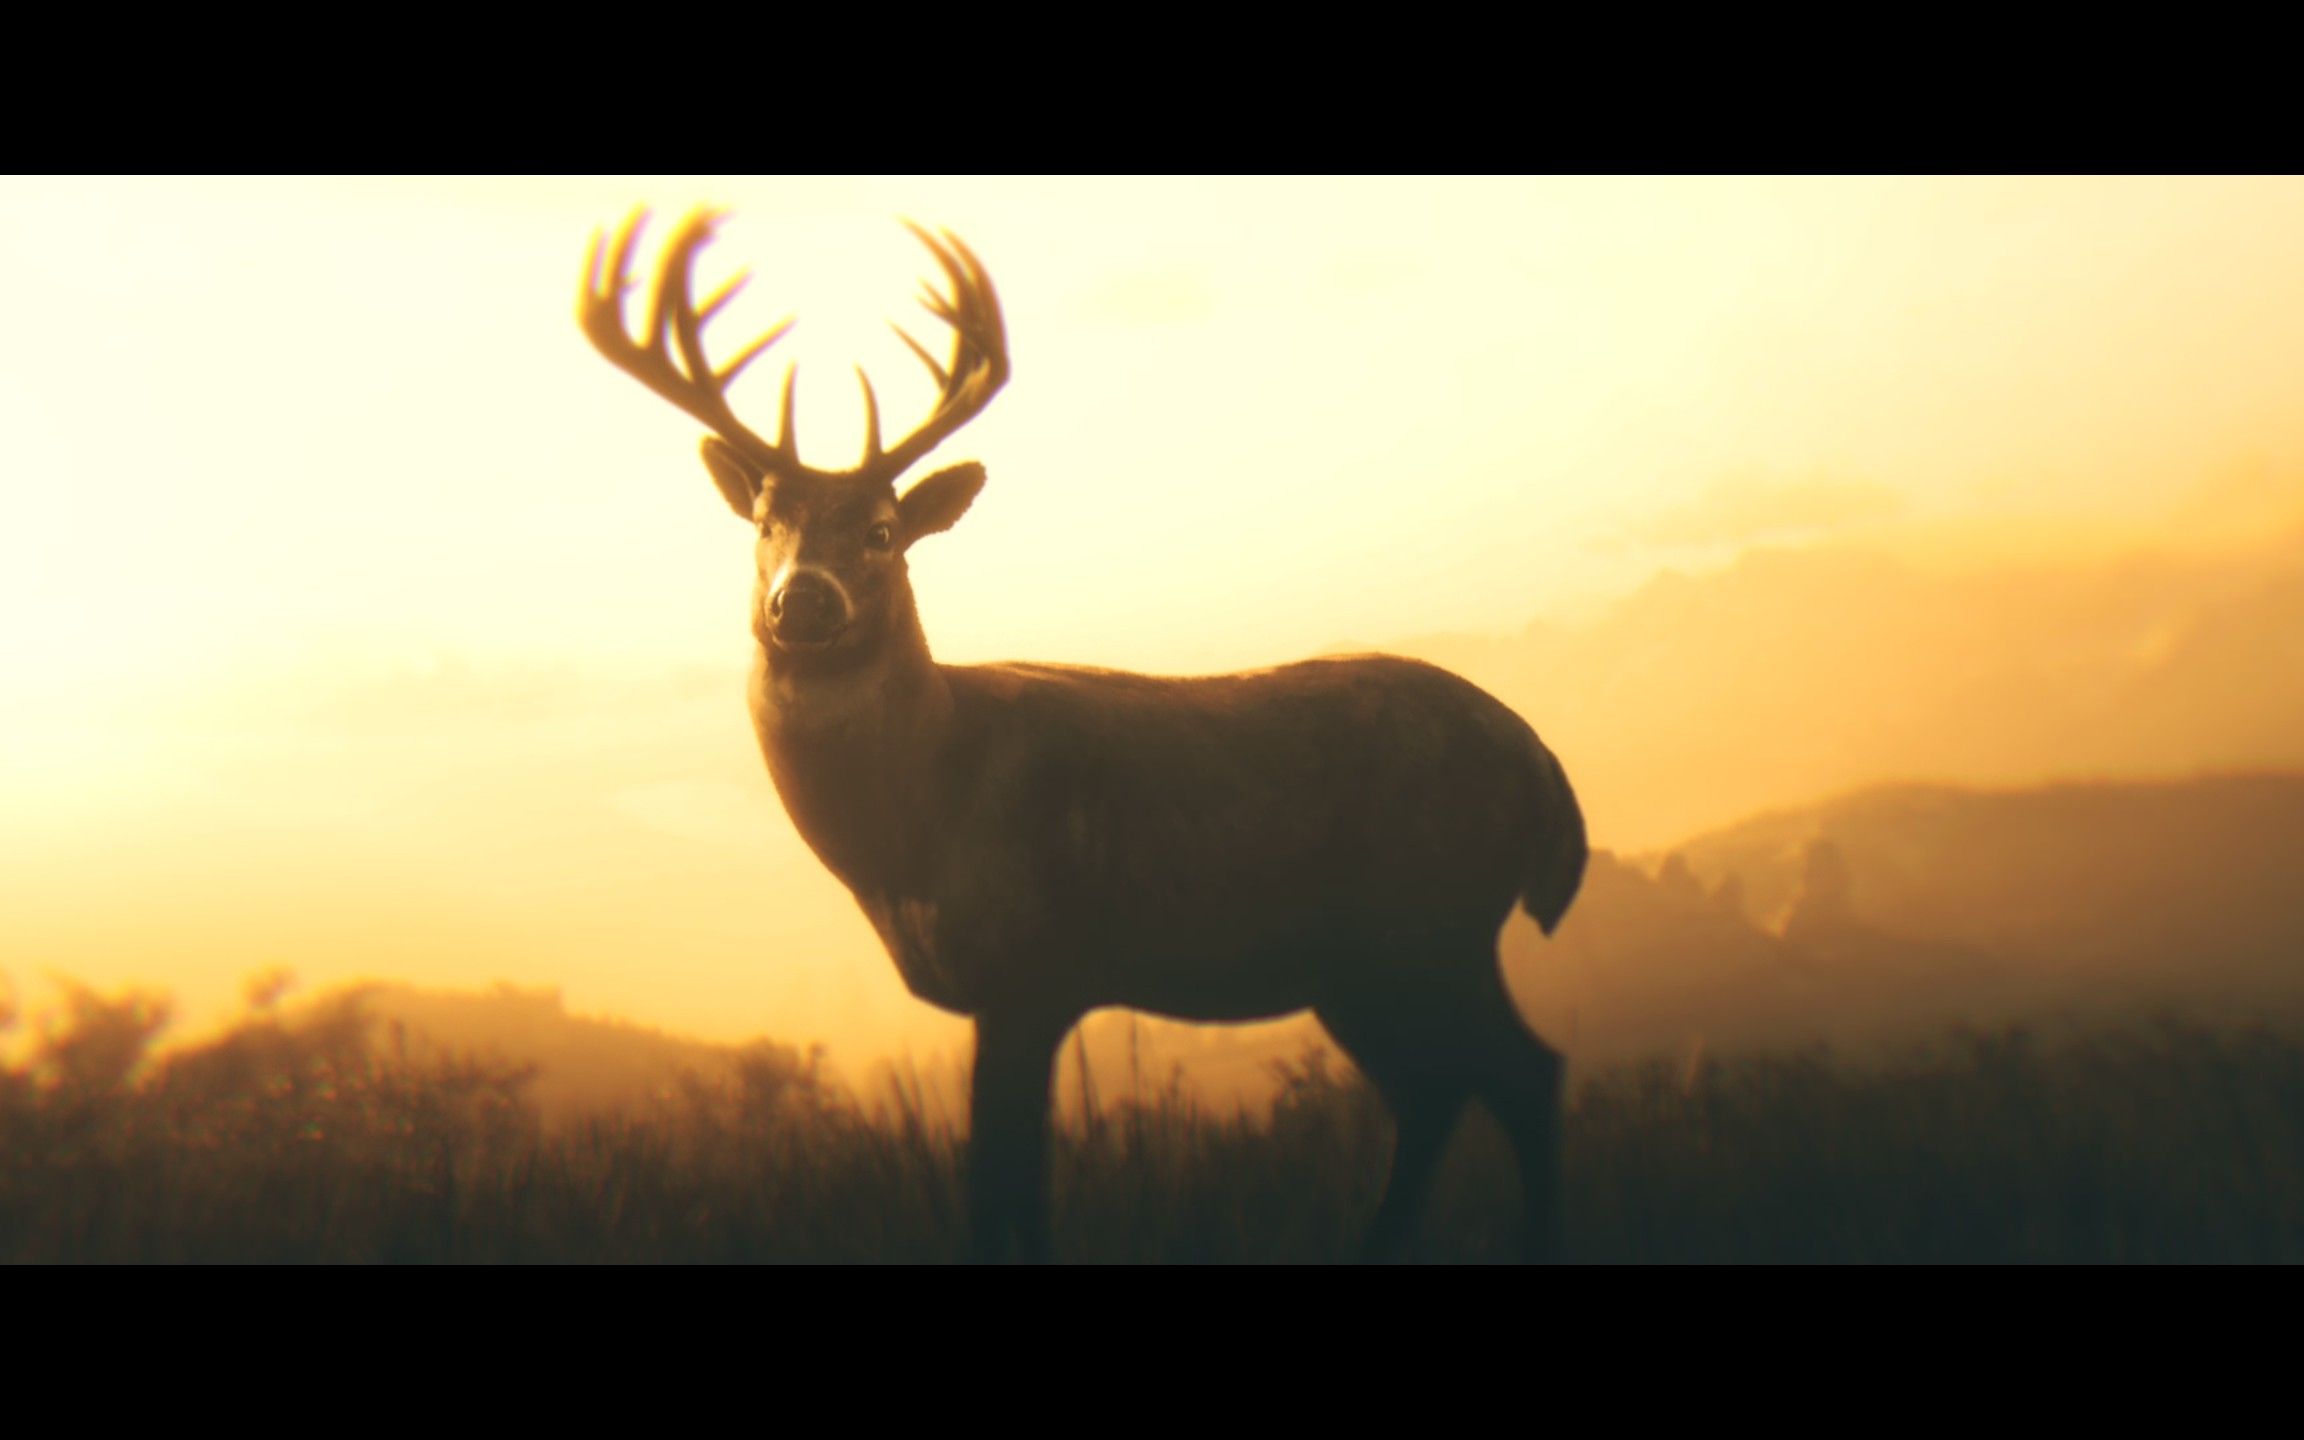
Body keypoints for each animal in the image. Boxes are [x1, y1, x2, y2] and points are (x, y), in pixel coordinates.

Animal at [577, 208, 1588, 1262]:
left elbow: (1001, 1182)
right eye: (766, 522)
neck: (916, 829)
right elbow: (1019, 1183)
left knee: (1523, 1071)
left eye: (885, 531)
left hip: (1434, 917)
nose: (804, 600)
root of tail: (1544, 769)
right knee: (1437, 1093)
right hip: (1365, 962)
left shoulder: (1029, 966)